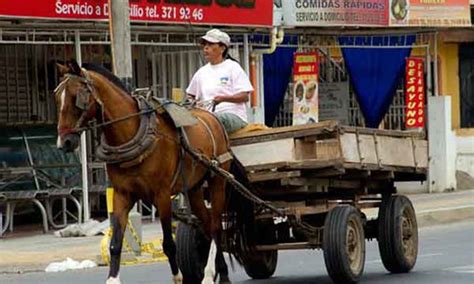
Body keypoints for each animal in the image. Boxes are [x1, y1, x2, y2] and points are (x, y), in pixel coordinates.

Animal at [53, 61, 252, 282]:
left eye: (76, 97)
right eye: (57, 97)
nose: (63, 142)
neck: (133, 132)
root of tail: (214, 117)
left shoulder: (162, 195)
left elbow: (169, 244)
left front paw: (178, 278)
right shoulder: (122, 195)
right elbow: (115, 244)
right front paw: (113, 278)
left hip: (218, 180)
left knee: (217, 226)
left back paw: (210, 274)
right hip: (194, 188)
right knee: (207, 224)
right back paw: (221, 271)